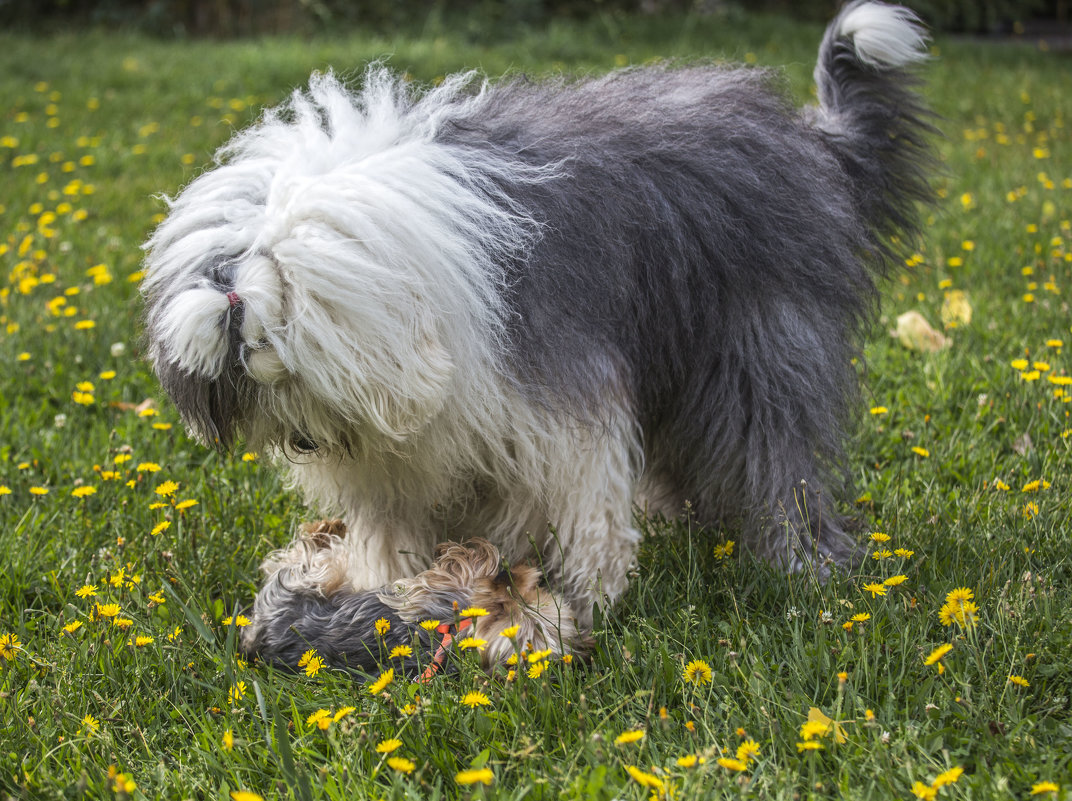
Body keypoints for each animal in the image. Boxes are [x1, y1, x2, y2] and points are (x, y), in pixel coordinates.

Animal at [144, 1, 939, 677]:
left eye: (289, 364)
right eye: (247, 377)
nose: (304, 443)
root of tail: (808, 137)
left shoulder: (556, 392)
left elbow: (583, 502)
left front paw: (587, 593)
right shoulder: (405, 446)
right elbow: (394, 516)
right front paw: (382, 584)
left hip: (759, 344)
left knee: (776, 458)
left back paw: (802, 565)